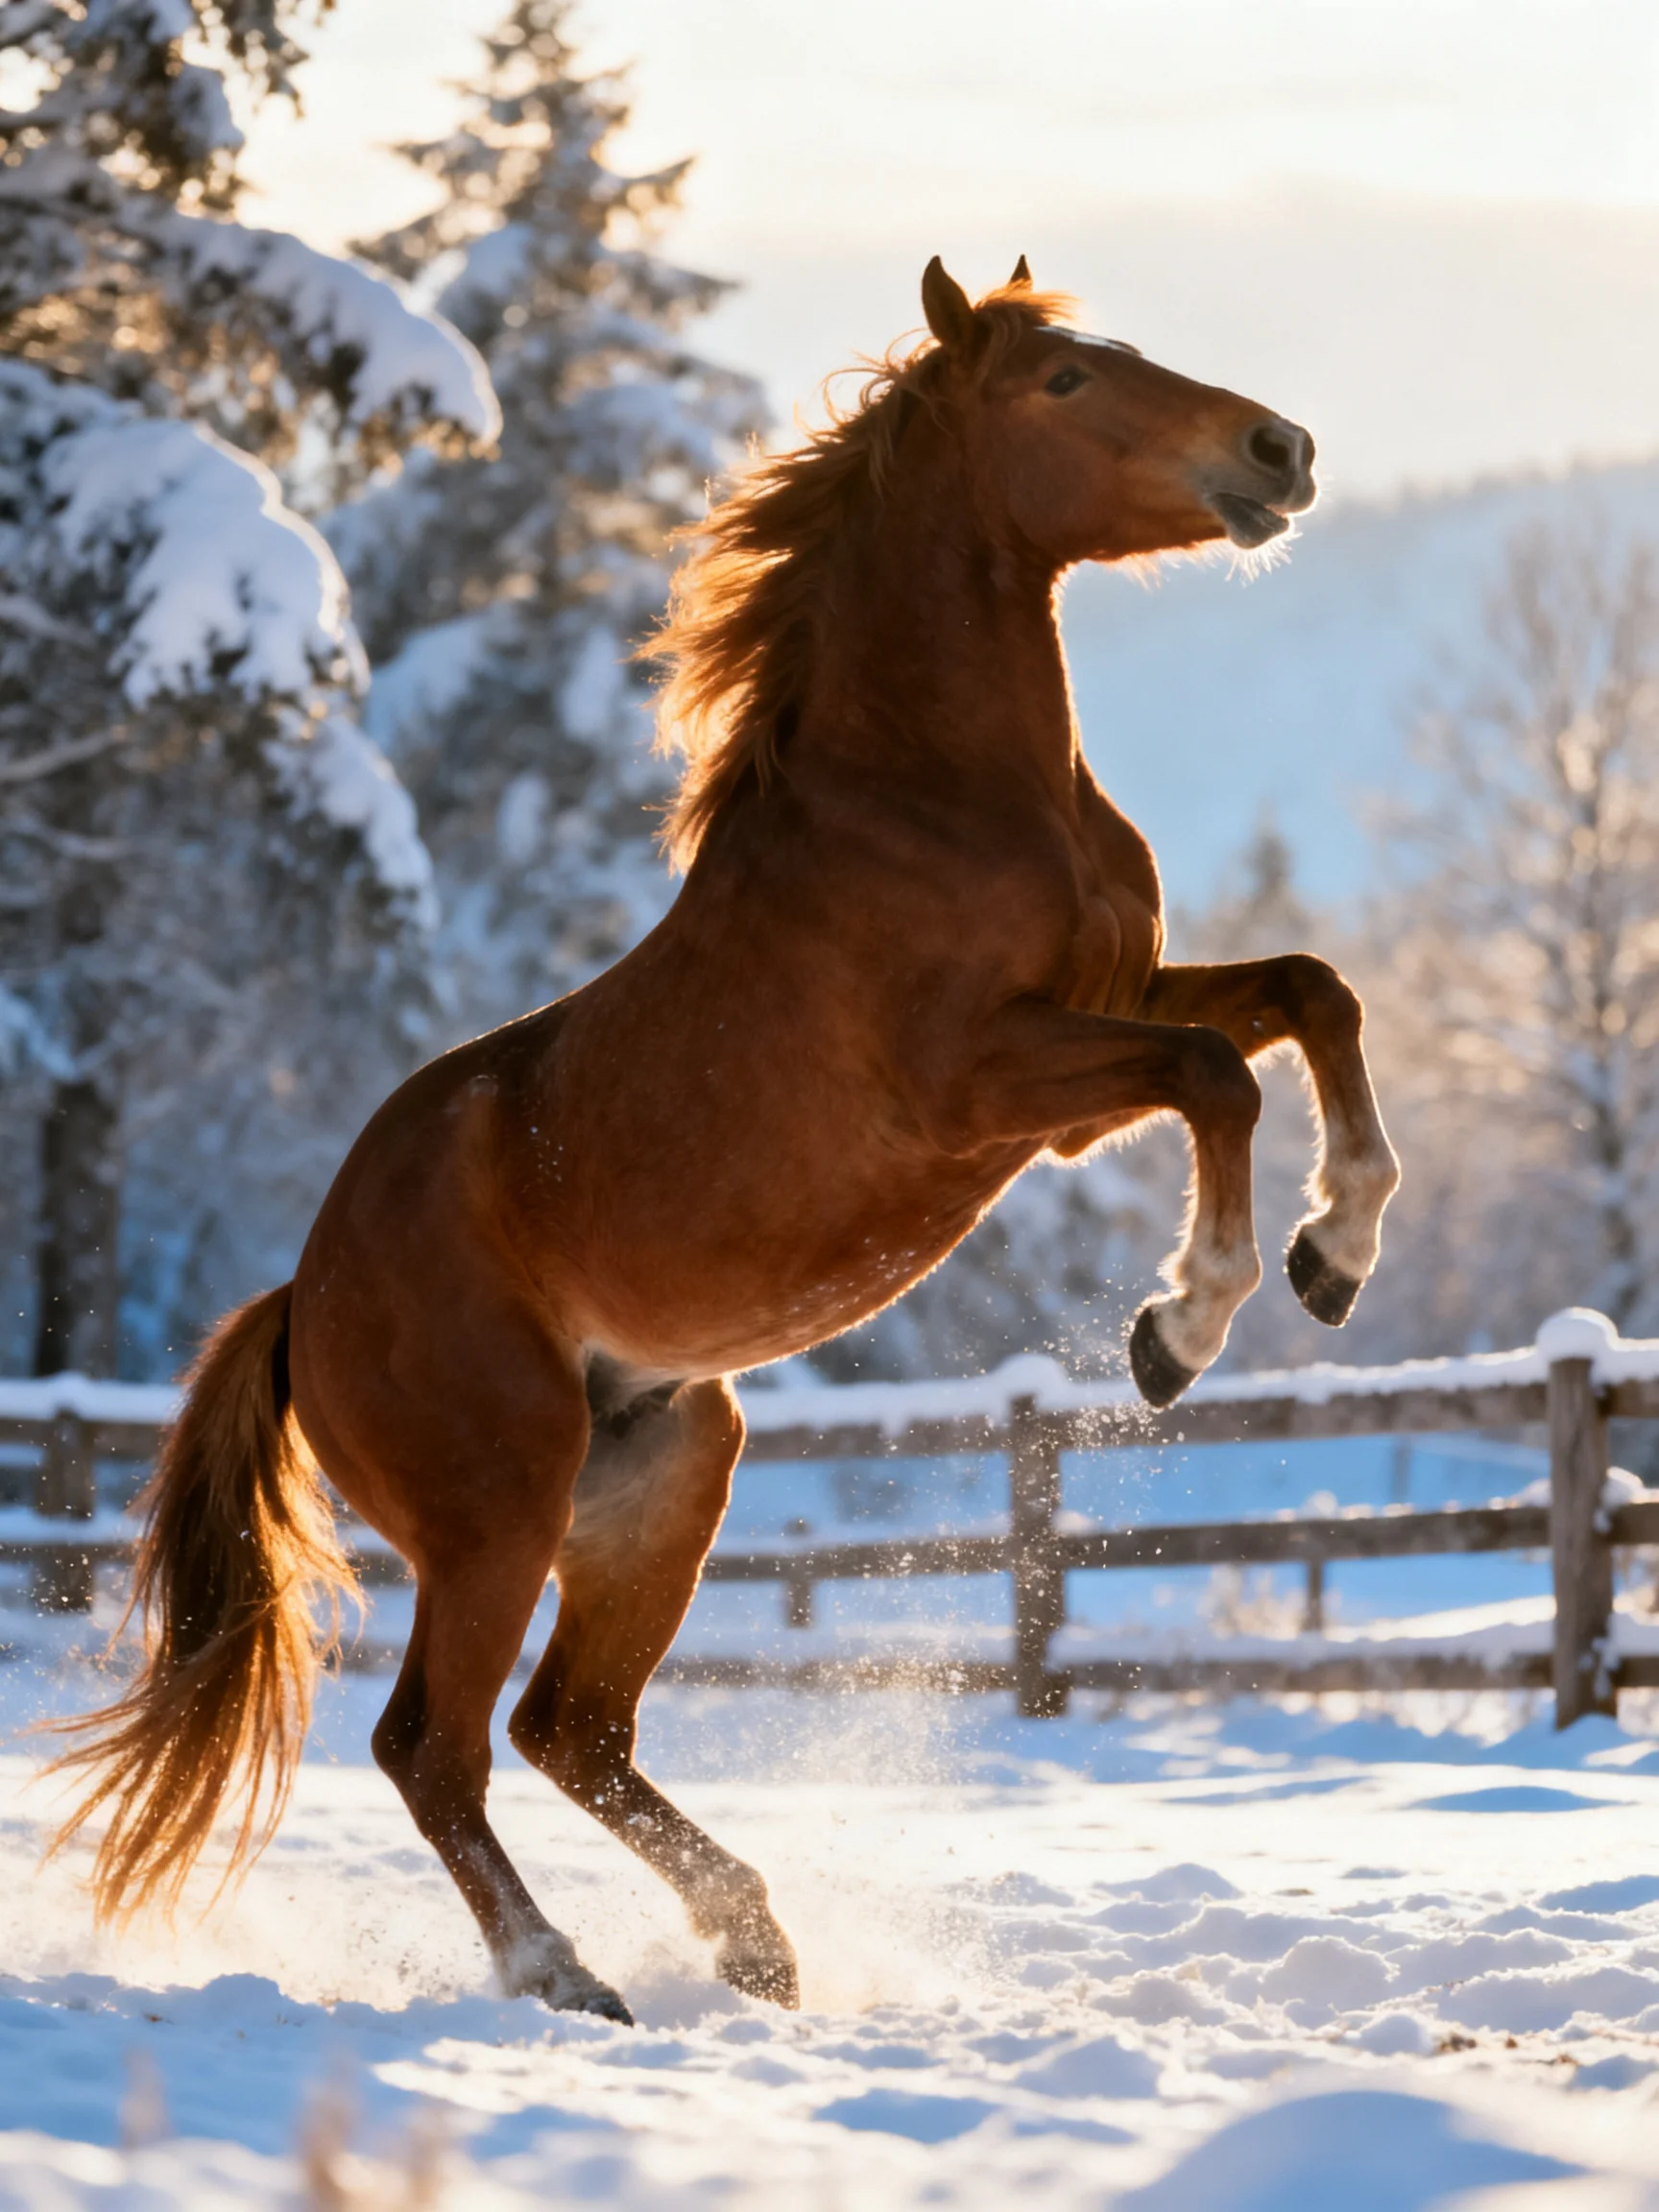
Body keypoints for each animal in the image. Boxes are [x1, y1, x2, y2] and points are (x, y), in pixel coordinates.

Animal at [50, 256, 1398, 2024]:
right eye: (1060, 382)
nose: (1279, 449)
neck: (930, 798)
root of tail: (300, 1302)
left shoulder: (1097, 1020)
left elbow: (1306, 994)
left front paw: (1338, 1249)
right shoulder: (986, 1085)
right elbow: (1216, 1074)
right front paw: (1185, 1322)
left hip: (663, 1478)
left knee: (568, 1727)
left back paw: (751, 1941)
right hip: (496, 1514)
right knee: (432, 1743)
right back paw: (562, 1972)